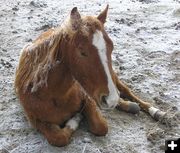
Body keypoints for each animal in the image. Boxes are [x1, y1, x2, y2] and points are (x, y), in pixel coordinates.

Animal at [14, 5, 167, 146]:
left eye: (111, 47)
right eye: (82, 52)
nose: (110, 100)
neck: (51, 94)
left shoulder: (88, 99)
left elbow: (101, 127)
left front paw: (76, 119)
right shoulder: (36, 121)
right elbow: (59, 138)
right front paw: (75, 120)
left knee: (125, 90)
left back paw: (154, 111)